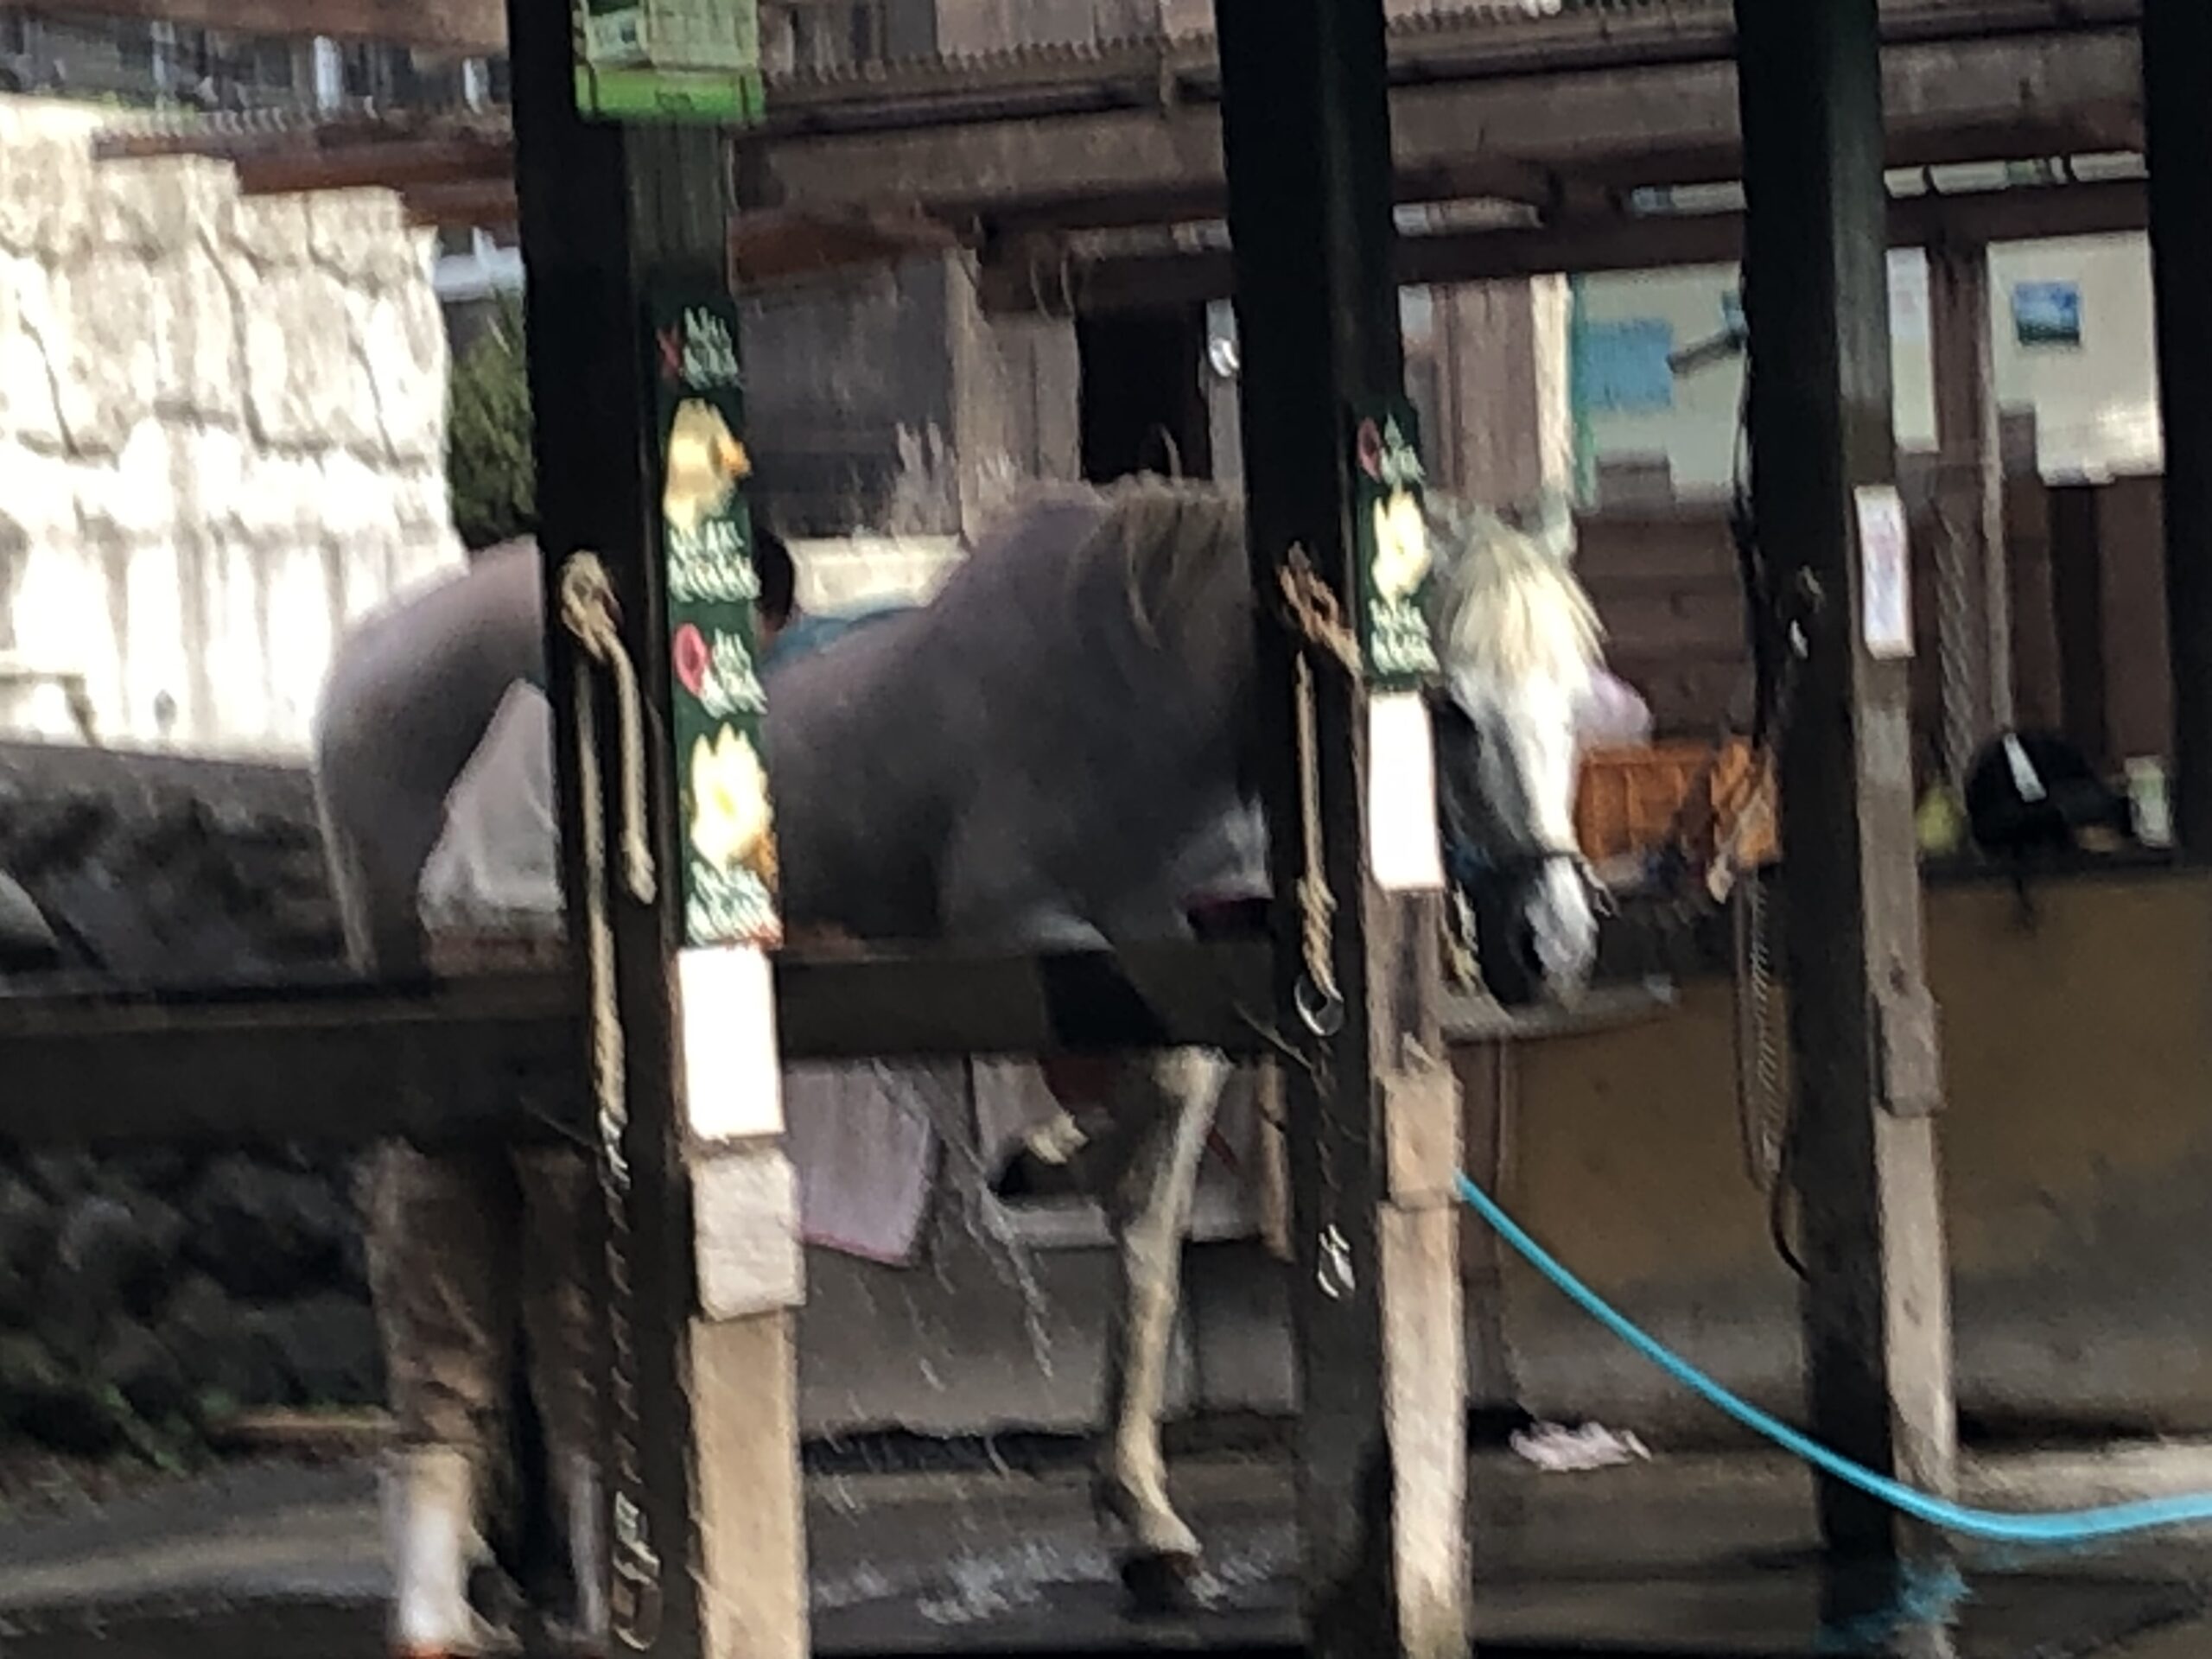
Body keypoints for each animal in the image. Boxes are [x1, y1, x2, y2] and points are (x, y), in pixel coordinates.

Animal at [310, 474, 1606, 1655]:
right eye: (1446, 708)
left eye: (1575, 704)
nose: (1550, 944)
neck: (1145, 694)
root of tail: (362, 657)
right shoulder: (1009, 931)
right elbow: (1124, 1084)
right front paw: (1040, 1155)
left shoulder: (1204, 960)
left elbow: (1153, 1223)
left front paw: (1143, 1519)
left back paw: (524, 1561)